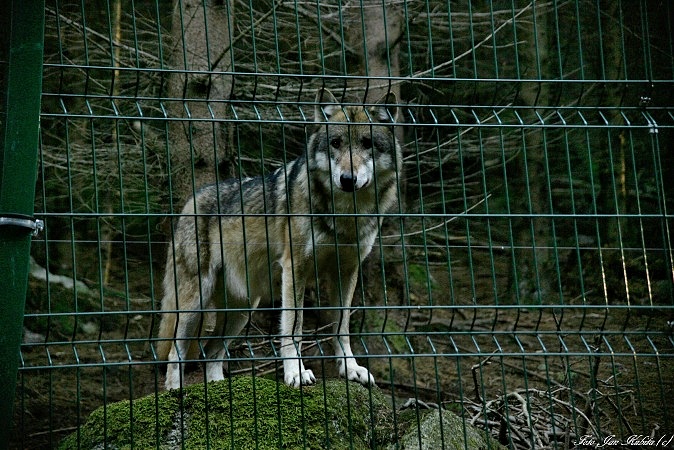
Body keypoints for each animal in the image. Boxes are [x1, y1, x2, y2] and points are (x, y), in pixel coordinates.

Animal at [156, 88, 401, 389]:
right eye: (336, 143)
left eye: (366, 143)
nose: (347, 179)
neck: (345, 214)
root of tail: (189, 201)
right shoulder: (295, 268)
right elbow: (294, 327)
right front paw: (296, 372)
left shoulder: (346, 271)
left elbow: (341, 328)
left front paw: (351, 368)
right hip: (196, 302)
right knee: (175, 352)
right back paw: (175, 392)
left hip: (242, 310)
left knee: (213, 352)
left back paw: (218, 387)